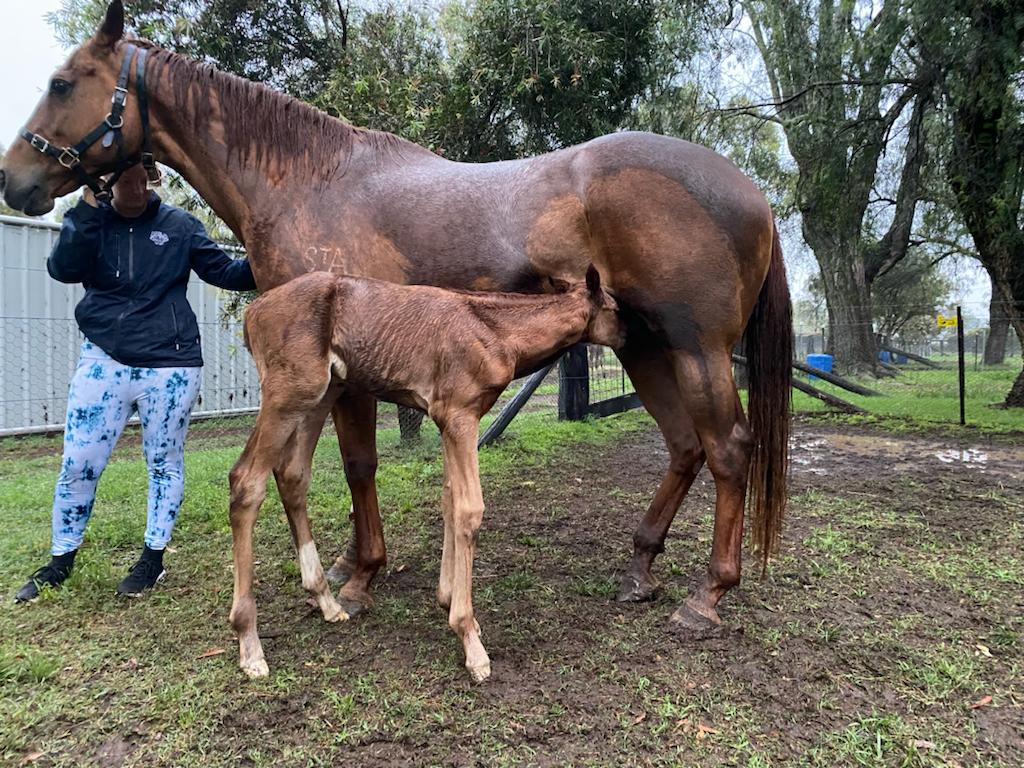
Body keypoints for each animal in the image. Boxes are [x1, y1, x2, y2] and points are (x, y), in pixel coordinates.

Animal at [0, 0, 792, 632]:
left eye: (64, 83)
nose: (15, 180)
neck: (308, 182)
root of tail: (748, 192)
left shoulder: (345, 375)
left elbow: (356, 464)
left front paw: (360, 576)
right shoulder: (324, 375)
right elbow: (309, 470)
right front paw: (343, 569)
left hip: (697, 350)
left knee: (727, 449)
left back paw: (708, 596)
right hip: (643, 347)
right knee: (686, 447)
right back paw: (640, 568)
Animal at [234, 267, 622, 681]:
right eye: (616, 309)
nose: (633, 335)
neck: (497, 332)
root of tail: (252, 312)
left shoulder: (448, 421)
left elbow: (449, 499)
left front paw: (449, 601)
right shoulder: (460, 416)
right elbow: (469, 509)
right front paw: (470, 640)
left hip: (321, 394)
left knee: (292, 475)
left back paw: (325, 601)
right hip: (286, 394)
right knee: (245, 482)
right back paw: (250, 644)